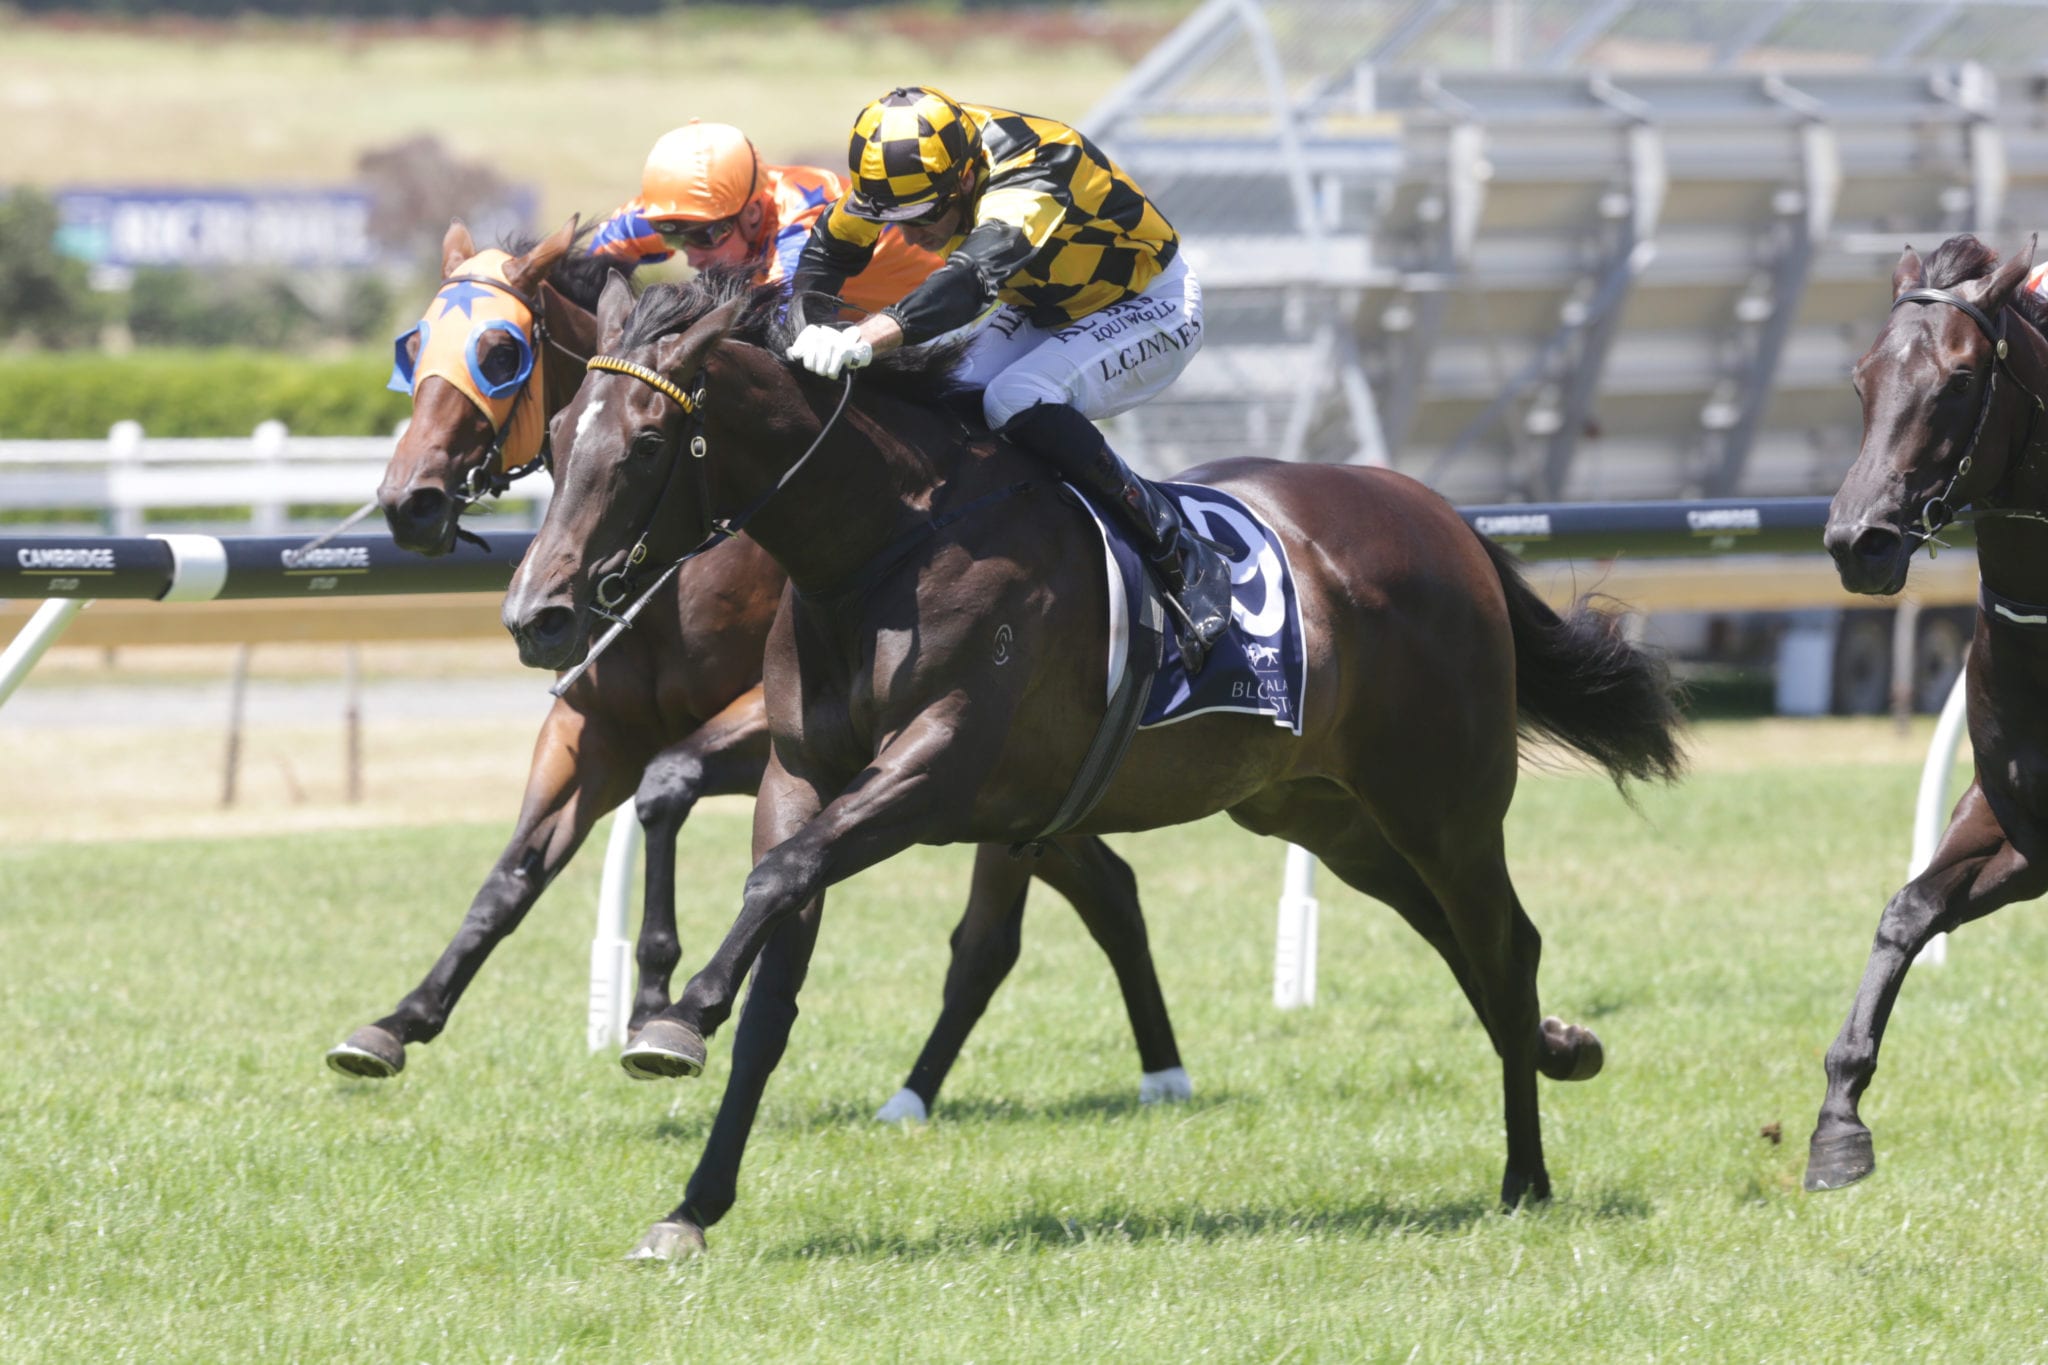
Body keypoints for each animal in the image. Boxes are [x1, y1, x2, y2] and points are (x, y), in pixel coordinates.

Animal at [323, 222, 1187, 1121]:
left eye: (500, 351)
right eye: (414, 346)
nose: (409, 501)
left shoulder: (761, 723)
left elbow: (665, 787)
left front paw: (654, 1000)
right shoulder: (595, 727)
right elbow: (514, 870)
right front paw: (400, 1020)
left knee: (1042, 910)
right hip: (1031, 786)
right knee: (1102, 885)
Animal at [495, 270, 1679, 1260]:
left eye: (648, 442)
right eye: (559, 433)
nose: (536, 614)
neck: (877, 548)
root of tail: (1446, 519)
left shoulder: (938, 769)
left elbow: (779, 881)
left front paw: (676, 1014)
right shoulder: (800, 777)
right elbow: (773, 992)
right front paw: (691, 1206)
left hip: (1442, 799)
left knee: (1503, 942)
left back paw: (1525, 1173)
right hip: (1319, 809)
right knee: (1459, 940)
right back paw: (1558, 1046)